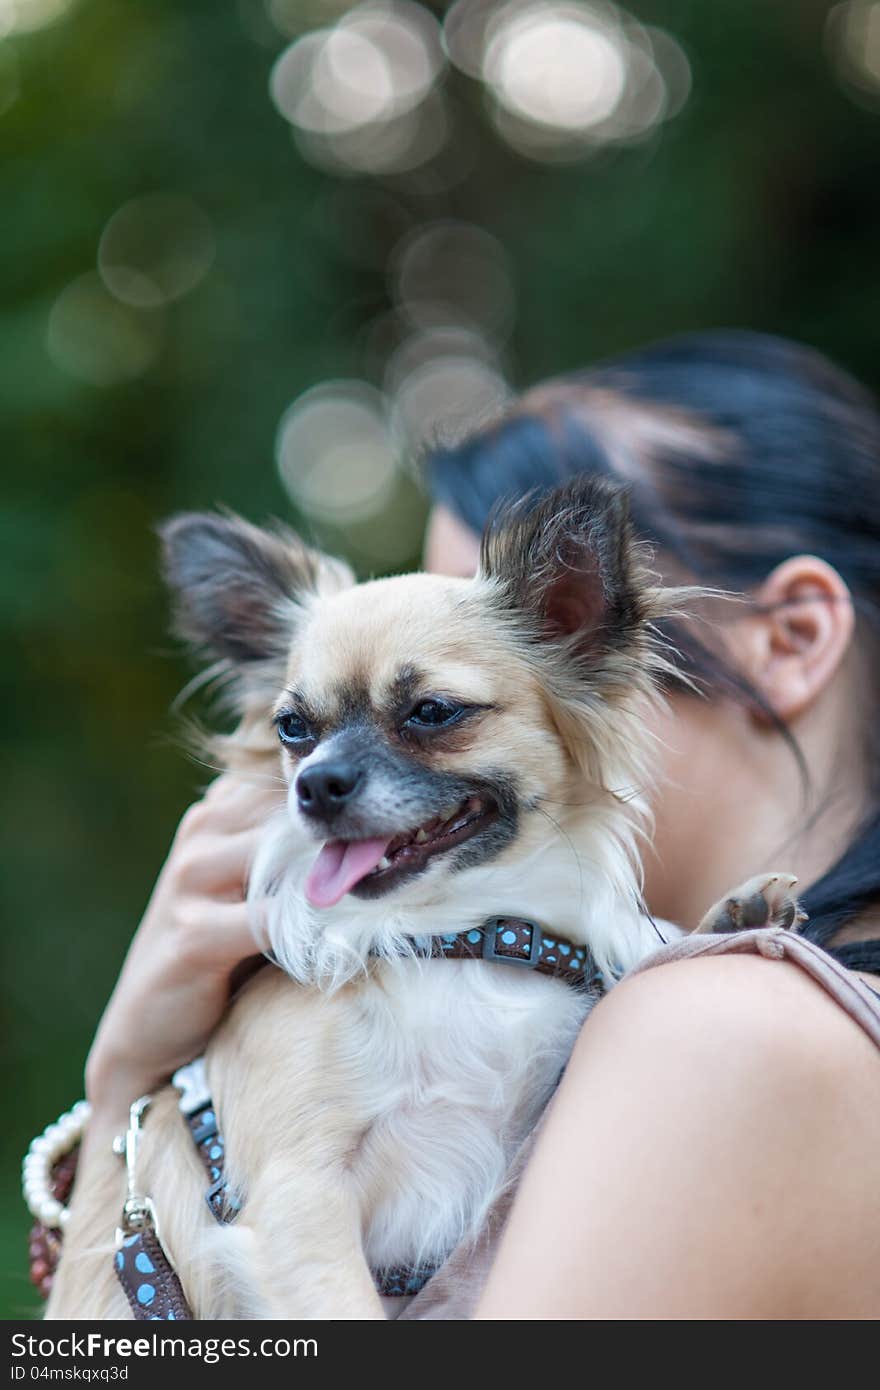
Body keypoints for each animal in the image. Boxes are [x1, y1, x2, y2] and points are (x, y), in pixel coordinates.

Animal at [49, 480, 800, 1323]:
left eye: (432, 713)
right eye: (293, 729)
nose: (315, 785)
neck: (462, 938)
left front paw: (730, 914)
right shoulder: (296, 1199)